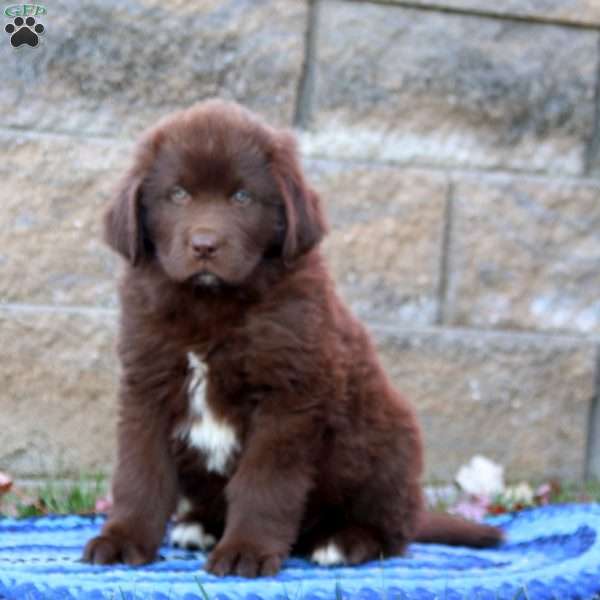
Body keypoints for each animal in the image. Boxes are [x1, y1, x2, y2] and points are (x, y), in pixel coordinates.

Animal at [81, 101, 502, 580]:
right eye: (179, 195)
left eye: (242, 197)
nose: (204, 245)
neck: (211, 305)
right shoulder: (146, 385)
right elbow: (140, 473)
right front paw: (123, 539)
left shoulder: (288, 396)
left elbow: (263, 483)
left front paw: (245, 550)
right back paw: (198, 525)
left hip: (388, 443)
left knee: (394, 529)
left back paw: (344, 542)